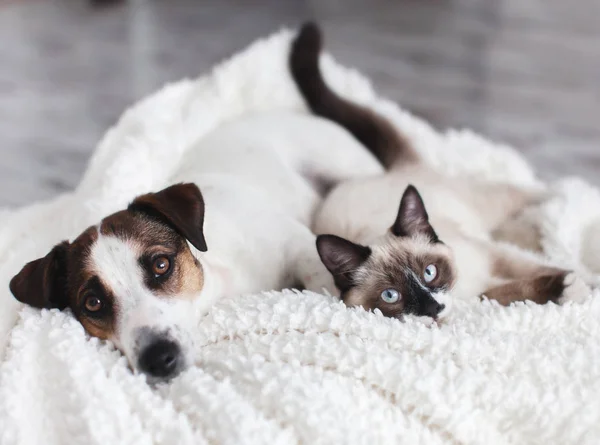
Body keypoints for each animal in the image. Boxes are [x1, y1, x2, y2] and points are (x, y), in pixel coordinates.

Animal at [290, 22, 592, 320]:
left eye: (430, 272)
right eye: (391, 296)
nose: (432, 308)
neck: (464, 291)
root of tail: (396, 169)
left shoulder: (494, 254)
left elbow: (535, 266)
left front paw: (583, 285)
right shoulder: (480, 300)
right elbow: (506, 293)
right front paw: (568, 290)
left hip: (489, 205)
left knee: (530, 191)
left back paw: (570, 196)